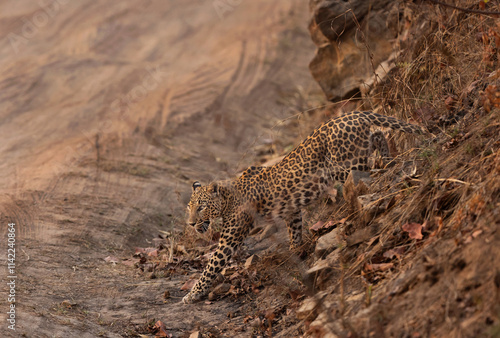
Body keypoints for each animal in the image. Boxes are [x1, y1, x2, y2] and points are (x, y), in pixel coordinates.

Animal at [182, 111, 424, 304]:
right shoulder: (292, 210)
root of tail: (355, 113)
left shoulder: (230, 239)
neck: (228, 198)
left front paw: (191, 295)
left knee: (367, 163)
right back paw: (388, 158)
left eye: (201, 207)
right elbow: (294, 229)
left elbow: (210, 266)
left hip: (346, 165)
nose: (191, 224)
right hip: (357, 153)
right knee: (378, 134)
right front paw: (296, 251)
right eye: (189, 208)